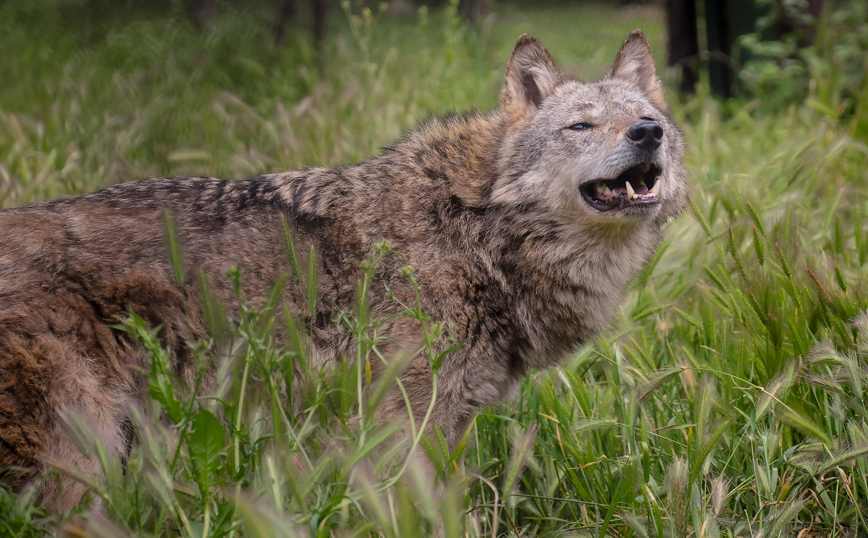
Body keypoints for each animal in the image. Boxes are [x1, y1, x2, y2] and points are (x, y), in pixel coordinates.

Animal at [3, 31, 688, 504]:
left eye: (647, 120)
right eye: (581, 125)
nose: (647, 132)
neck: (475, 227)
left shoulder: (449, 420)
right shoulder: (400, 422)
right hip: (78, 462)